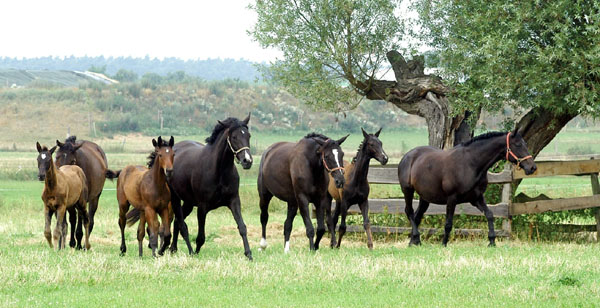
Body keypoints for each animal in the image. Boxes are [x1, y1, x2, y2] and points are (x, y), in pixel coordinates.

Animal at [166, 115, 255, 260]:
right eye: (234, 137)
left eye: (248, 135)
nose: (247, 161)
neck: (219, 171)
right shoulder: (202, 207)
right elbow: (201, 237)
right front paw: (195, 253)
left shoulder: (234, 201)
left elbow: (242, 227)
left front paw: (249, 254)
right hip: (175, 198)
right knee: (179, 221)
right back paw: (176, 249)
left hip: (189, 203)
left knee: (178, 222)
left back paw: (173, 249)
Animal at [400, 129, 536, 247]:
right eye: (518, 144)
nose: (532, 167)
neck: (470, 163)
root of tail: (408, 156)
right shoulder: (452, 198)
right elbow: (448, 223)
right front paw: (444, 244)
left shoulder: (476, 198)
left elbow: (489, 214)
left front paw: (492, 241)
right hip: (407, 190)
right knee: (409, 212)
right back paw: (416, 238)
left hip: (425, 197)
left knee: (417, 216)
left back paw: (414, 242)